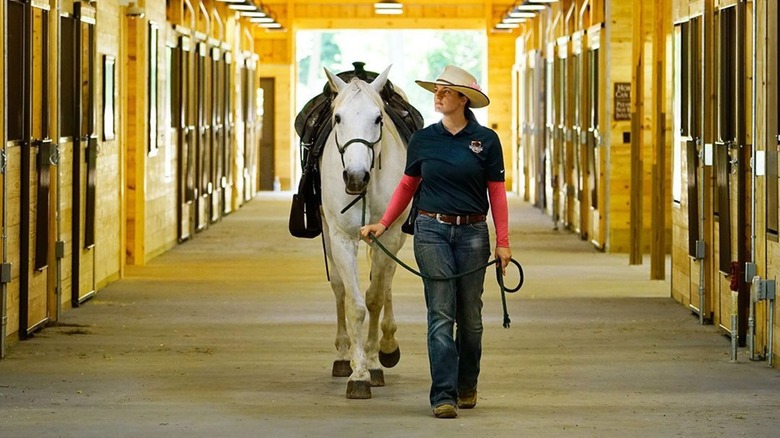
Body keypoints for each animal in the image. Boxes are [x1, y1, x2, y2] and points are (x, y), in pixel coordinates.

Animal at [320, 66, 412, 398]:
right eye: (338, 118)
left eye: (378, 118)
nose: (356, 177)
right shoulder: (342, 238)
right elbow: (355, 304)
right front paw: (357, 372)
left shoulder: (389, 236)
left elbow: (374, 297)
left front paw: (372, 363)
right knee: (338, 288)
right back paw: (343, 354)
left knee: (385, 284)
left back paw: (388, 345)